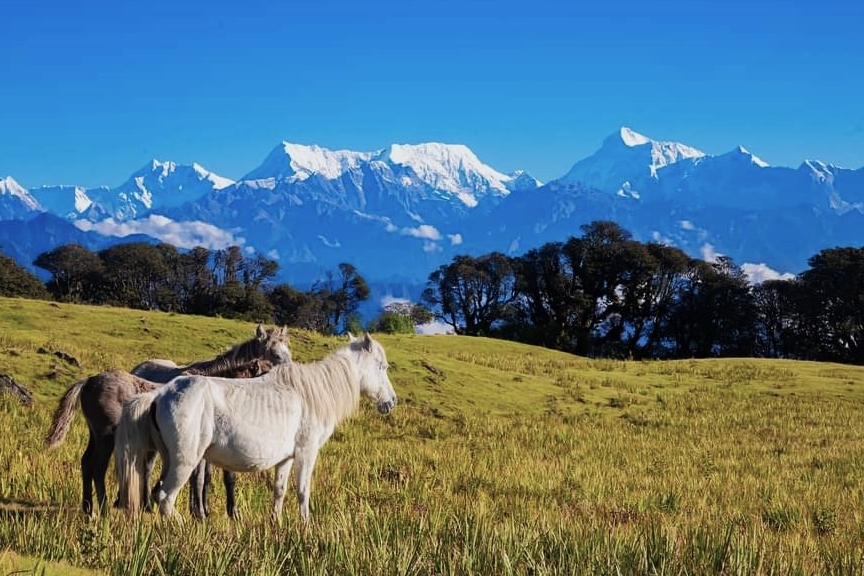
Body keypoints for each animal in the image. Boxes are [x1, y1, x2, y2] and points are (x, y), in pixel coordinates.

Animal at [46, 324, 290, 516]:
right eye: (274, 354)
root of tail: (89, 381)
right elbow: (207, 478)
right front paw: (205, 513)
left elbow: (205, 478)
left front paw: (202, 510)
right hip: (106, 438)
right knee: (98, 468)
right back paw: (105, 509)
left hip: (97, 436)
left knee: (89, 463)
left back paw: (92, 508)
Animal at [115, 330, 398, 524]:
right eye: (381, 367)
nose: (391, 401)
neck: (310, 393)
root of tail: (160, 394)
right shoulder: (307, 453)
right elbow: (303, 491)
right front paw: (306, 526)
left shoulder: (286, 458)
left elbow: (280, 490)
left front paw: (276, 523)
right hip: (185, 462)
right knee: (165, 497)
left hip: (169, 459)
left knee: (156, 492)